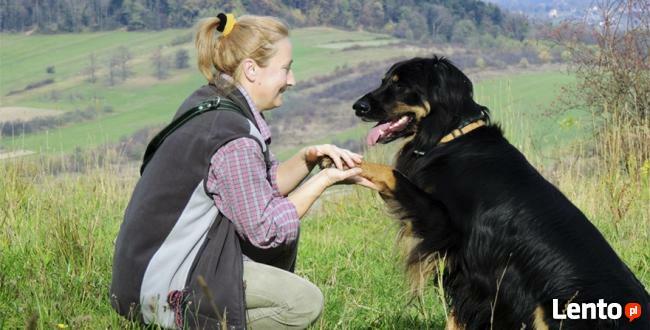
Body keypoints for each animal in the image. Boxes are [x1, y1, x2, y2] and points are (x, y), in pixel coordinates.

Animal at [350, 56, 648, 328]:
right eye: (384, 80)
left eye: (400, 85)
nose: (357, 107)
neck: (452, 135)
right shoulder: (468, 268)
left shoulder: (444, 228)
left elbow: (392, 173)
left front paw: (352, 164)